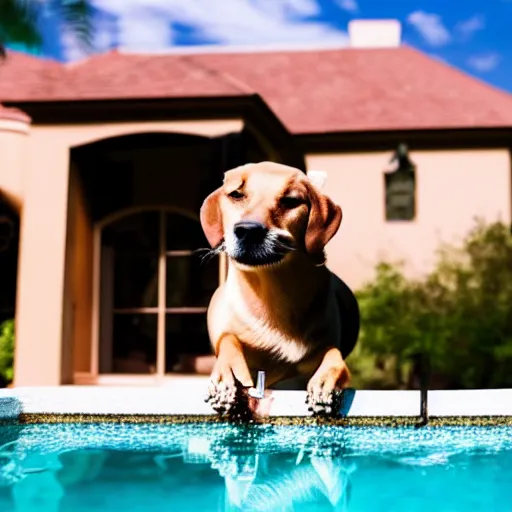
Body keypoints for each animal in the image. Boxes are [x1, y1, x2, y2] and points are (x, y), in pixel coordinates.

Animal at [198, 163, 358, 416]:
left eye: (291, 201)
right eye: (236, 194)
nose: (248, 230)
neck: (272, 293)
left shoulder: (323, 347)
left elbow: (334, 355)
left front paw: (326, 383)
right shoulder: (227, 333)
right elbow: (228, 340)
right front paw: (227, 376)